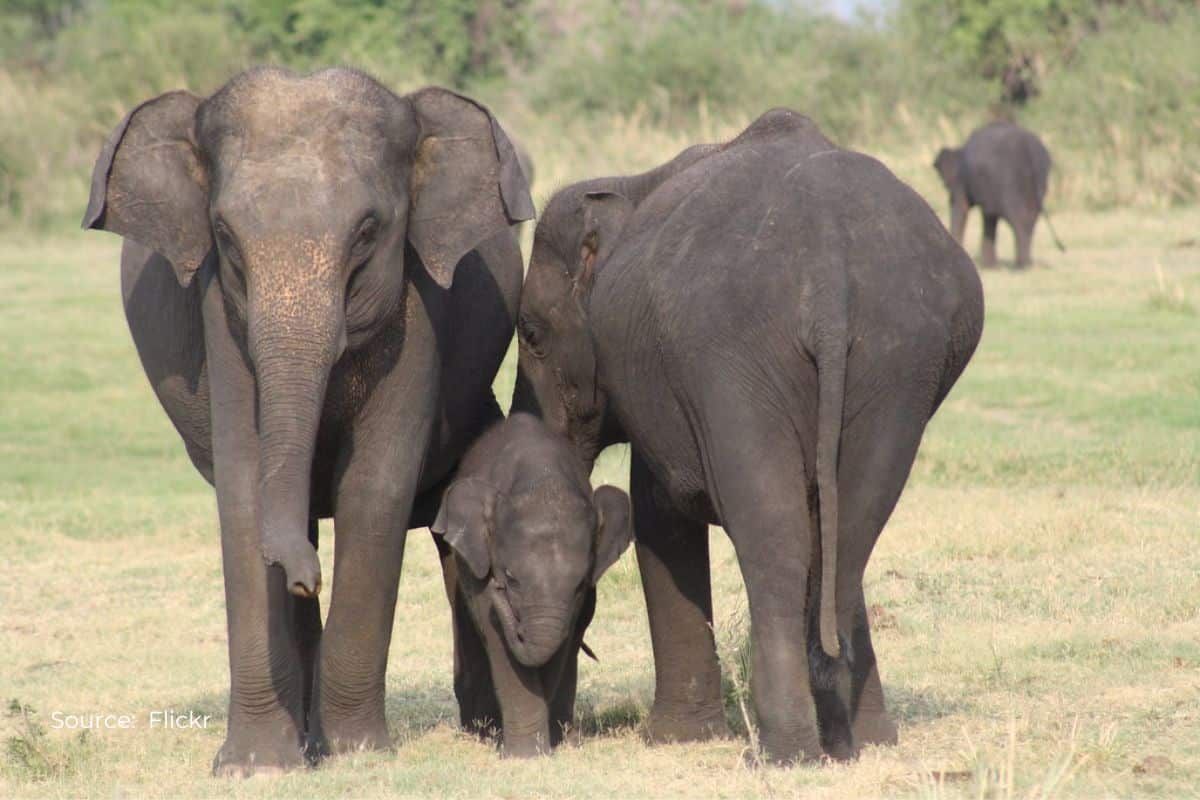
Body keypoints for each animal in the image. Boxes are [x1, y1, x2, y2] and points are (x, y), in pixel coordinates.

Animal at [82, 67, 534, 776]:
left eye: (368, 231)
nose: (304, 579)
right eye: (225, 235)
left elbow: (376, 488)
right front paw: (256, 767)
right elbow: (244, 489)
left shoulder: (418, 311)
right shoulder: (220, 316)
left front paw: (358, 756)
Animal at [432, 412, 632, 757]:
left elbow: (561, 642)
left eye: (580, 584)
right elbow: (496, 637)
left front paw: (539, 749)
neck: (541, 477)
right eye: (510, 578)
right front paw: (525, 756)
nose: (498, 588)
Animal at [512, 109, 984, 764]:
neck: (631, 184)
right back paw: (847, 736)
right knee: (845, 534)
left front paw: (674, 738)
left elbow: (660, 516)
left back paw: (786, 750)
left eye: (530, 334)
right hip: (898, 361)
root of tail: (828, 270)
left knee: (777, 539)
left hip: (735, 357)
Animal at [934, 120, 1063, 268]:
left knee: (1018, 217)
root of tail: (1028, 149)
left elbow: (962, 207)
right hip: (1040, 180)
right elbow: (989, 216)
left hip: (1009, 181)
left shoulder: (961, 180)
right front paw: (990, 265)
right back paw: (1026, 263)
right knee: (1031, 217)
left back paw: (1020, 266)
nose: (944, 185)